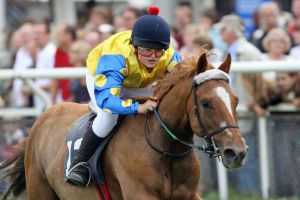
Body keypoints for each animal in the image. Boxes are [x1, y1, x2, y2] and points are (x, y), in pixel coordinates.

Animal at [0, 53, 248, 200]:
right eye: (206, 103)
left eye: (235, 100)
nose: (236, 152)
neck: (164, 148)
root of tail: (42, 119)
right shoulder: (140, 194)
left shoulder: (188, 195)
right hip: (40, 190)